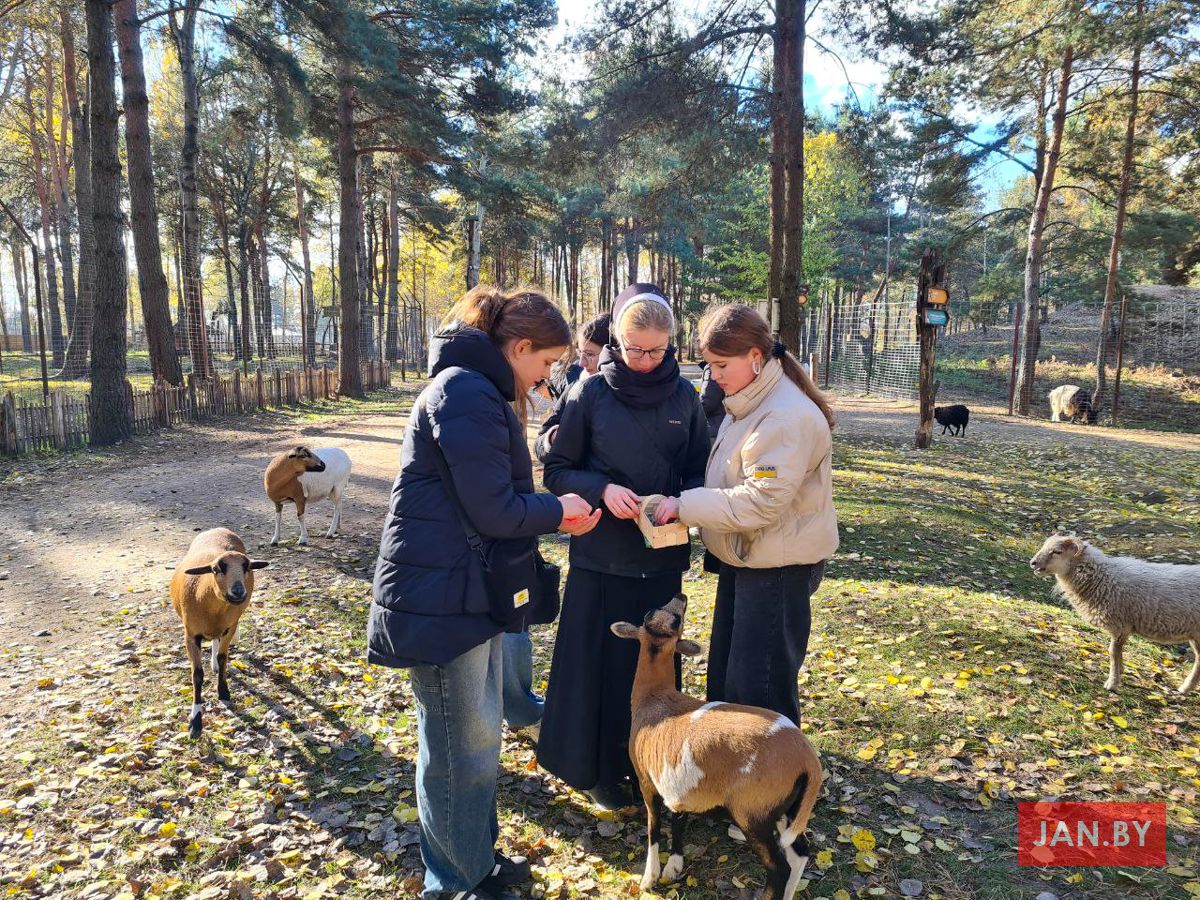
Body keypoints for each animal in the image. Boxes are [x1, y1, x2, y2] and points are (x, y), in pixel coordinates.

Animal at [170, 528, 268, 738]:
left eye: (247, 567)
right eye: (216, 569)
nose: (238, 591)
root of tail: (219, 530)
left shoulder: (229, 628)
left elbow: (223, 658)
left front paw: (223, 691)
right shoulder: (190, 636)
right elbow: (197, 675)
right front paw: (195, 721)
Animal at [611, 594, 823, 900]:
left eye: (674, 618)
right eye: (656, 613)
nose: (681, 596)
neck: (655, 696)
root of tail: (807, 759)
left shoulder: (646, 780)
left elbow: (654, 825)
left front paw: (649, 878)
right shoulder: (679, 783)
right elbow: (678, 817)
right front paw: (674, 866)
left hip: (752, 813)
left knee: (779, 867)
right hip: (788, 809)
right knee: (800, 853)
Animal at [1030, 534, 1200, 695]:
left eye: (1057, 552)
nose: (1033, 562)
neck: (1102, 578)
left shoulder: (1121, 625)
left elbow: (1112, 652)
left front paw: (1112, 683)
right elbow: (1117, 654)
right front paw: (1121, 671)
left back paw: (1185, 688)